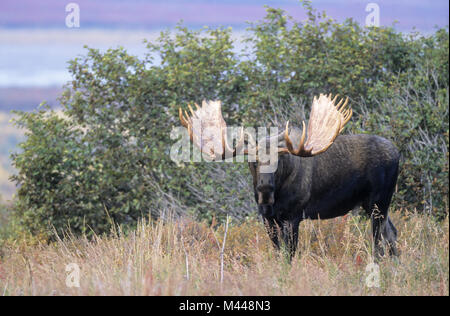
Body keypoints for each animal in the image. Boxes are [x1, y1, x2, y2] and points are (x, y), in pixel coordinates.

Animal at [178, 94, 400, 260]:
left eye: (279, 159)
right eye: (253, 161)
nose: (265, 189)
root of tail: (398, 153)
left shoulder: (294, 216)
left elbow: (289, 254)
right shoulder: (267, 217)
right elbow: (279, 252)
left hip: (379, 201)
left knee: (380, 240)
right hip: (373, 205)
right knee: (392, 233)